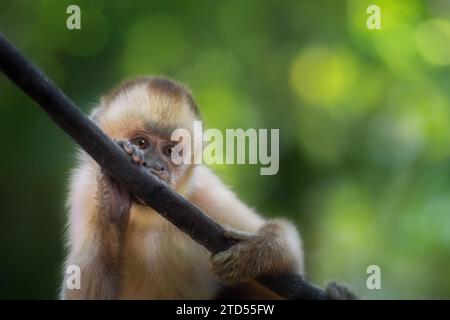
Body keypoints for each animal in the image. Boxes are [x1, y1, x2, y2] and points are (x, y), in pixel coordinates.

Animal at [59, 76, 354, 298]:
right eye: (141, 143)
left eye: (170, 151)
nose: (156, 167)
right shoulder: (83, 193)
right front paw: (113, 197)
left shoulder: (204, 194)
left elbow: (292, 258)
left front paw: (256, 254)